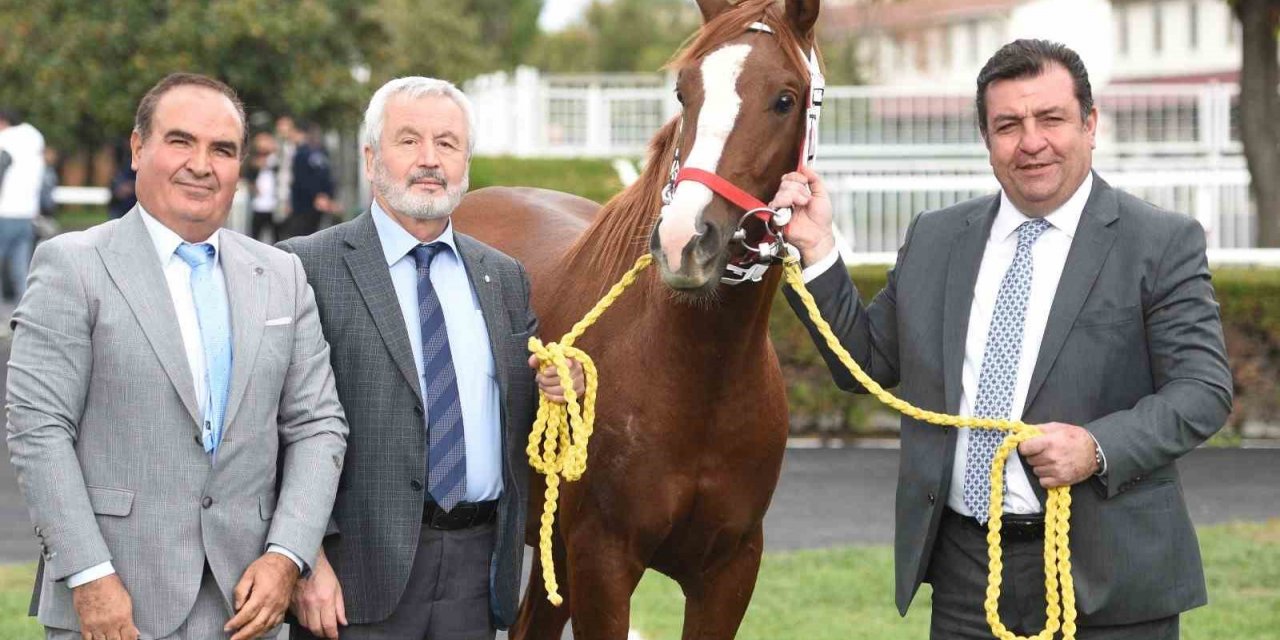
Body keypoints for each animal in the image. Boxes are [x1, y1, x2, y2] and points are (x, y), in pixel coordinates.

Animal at [455, 2, 824, 637]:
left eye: (785, 98)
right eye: (683, 91)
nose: (684, 241)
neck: (698, 377)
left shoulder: (729, 571)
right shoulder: (602, 561)